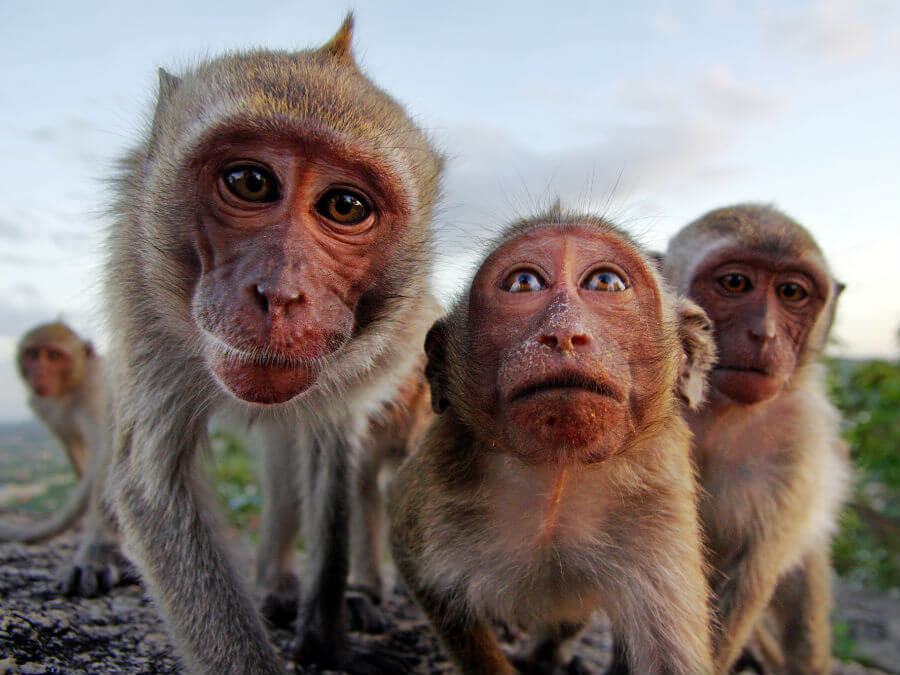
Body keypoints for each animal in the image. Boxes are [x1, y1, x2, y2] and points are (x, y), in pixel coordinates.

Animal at [2, 322, 126, 596]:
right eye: (33, 354)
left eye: (55, 356)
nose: (40, 373)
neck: (71, 388)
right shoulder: (41, 405)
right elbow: (74, 449)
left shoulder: (95, 392)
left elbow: (106, 451)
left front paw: (98, 550)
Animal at [103, 15, 442, 675]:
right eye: (250, 183)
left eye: (345, 205)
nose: (281, 295)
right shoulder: (143, 300)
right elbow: (153, 486)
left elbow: (331, 450)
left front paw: (328, 635)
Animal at [386, 211, 716, 675]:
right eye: (523, 283)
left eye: (606, 283)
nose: (563, 334)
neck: (557, 476)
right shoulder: (438, 482)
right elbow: (429, 584)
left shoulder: (659, 498)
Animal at [608, 206, 848, 675]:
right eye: (735, 283)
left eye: (791, 292)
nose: (764, 334)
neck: (717, 411)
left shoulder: (800, 441)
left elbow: (750, 575)